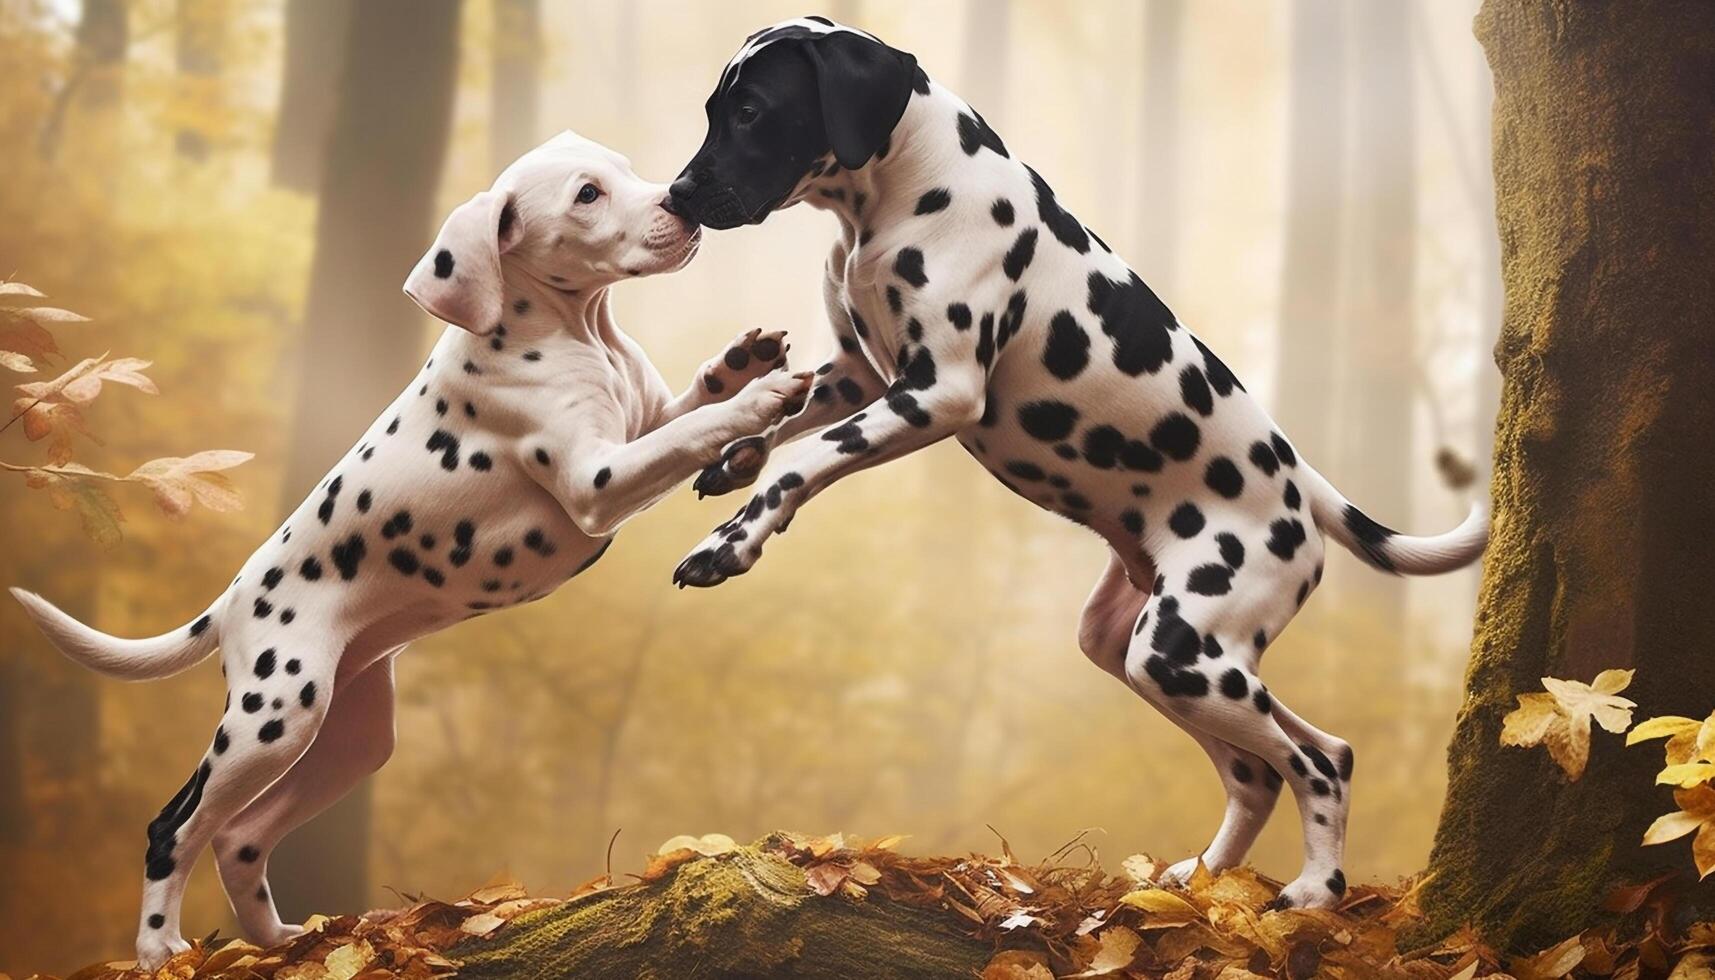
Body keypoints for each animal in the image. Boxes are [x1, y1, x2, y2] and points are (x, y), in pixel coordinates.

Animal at [661, 19, 1495, 913]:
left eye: (753, 110)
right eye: (713, 109)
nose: (676, 196)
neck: (908, 190)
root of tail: (1301, 486)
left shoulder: (936, 393)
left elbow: (807, 457)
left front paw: (730, 543)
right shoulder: (861, 373)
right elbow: (787, 413)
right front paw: (732, 455)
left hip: (1181, 651)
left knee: (1308, 762)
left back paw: (1311, 890)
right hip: (1142, 649)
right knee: (1282, 763)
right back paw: (1199, 884)